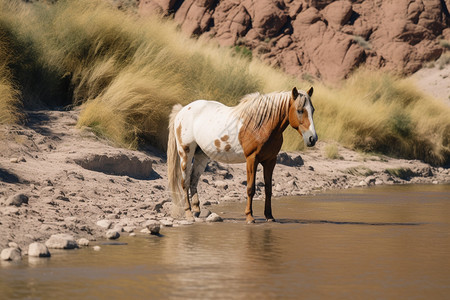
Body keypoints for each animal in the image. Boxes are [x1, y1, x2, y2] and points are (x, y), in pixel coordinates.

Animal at [167, 86, 318, 223]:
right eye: (300, 110)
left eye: (313, 110)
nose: (312, 138)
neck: (261, 125)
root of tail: (182, 110)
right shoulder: (252, 159)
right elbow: (250, 188)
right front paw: (249, 217)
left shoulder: (270, 161)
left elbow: (268, 189)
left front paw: (269, 216)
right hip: (185, 153)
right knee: (185, 182)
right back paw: (189, 214)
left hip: (201, 155)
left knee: (193, 180)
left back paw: (197, 211)